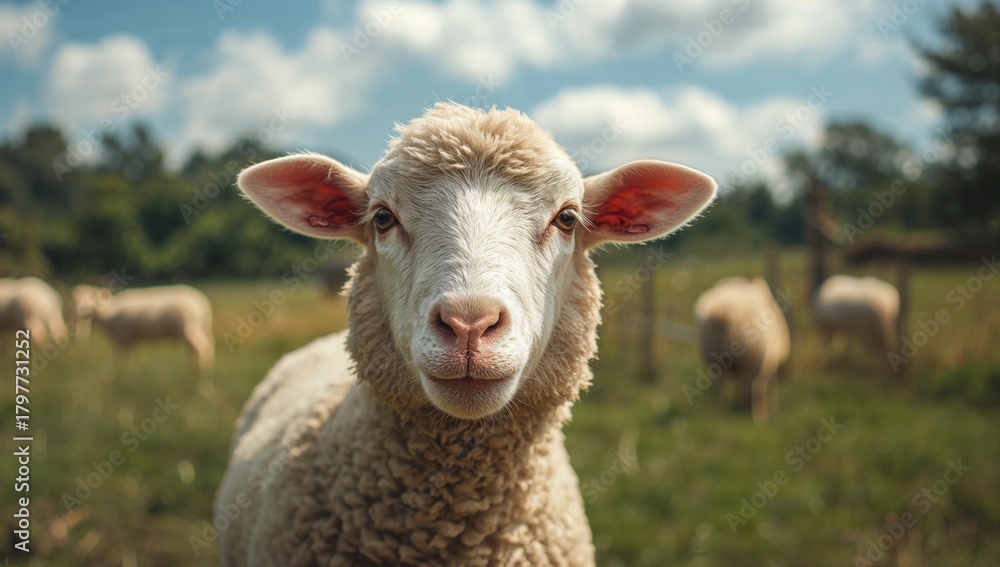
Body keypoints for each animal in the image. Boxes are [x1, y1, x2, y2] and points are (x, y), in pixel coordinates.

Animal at [71, 284, 215, 378]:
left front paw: (122, 375)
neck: (109, 313)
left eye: (92, 298)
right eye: (76, 300)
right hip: (199, 328)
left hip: (188, 328)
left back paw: (203, 372)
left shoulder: (123, 338)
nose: (80, 311)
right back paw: (192, 370)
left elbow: (123, 359)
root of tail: (202, 303)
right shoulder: (128, 340)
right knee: (196, 349)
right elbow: (127, 358)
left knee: (202, 347)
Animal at [694, 277, 790, 423]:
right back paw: (757, 416)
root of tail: (723, 311)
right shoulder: (766, 362)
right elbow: (763, 384)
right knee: (753, 385)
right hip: (751, 358)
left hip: (713, 360)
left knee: (720, 387)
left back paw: (718, 413)